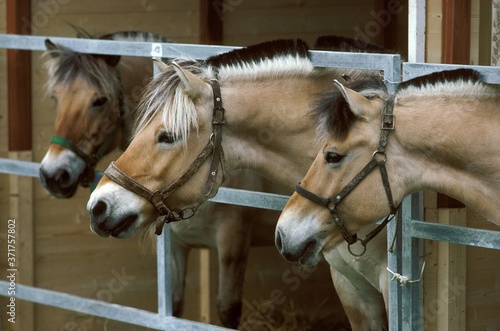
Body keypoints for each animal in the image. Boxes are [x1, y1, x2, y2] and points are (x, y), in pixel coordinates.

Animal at [38, 30, 286, 330]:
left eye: (99, 101)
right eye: (55, 98)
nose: (53, 175)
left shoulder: (233, 244)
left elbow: (227, 311)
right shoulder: (177, 247)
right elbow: (175, 307)